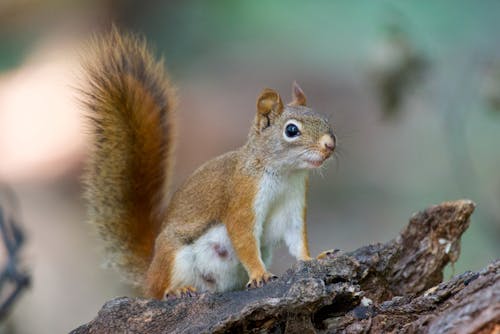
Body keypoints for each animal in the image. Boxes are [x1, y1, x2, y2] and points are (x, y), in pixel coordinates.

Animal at [82, 28, 336, 300]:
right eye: (291, 130)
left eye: (324, 119)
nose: (330, 145)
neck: (285, 174)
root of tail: (150, 269)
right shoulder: (243, 196)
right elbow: (244, 238)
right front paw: (260, 274)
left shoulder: (293, 206)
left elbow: (297, 240)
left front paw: (313, 258)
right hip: (175, 257)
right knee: (158, 290)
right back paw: (177, 289)